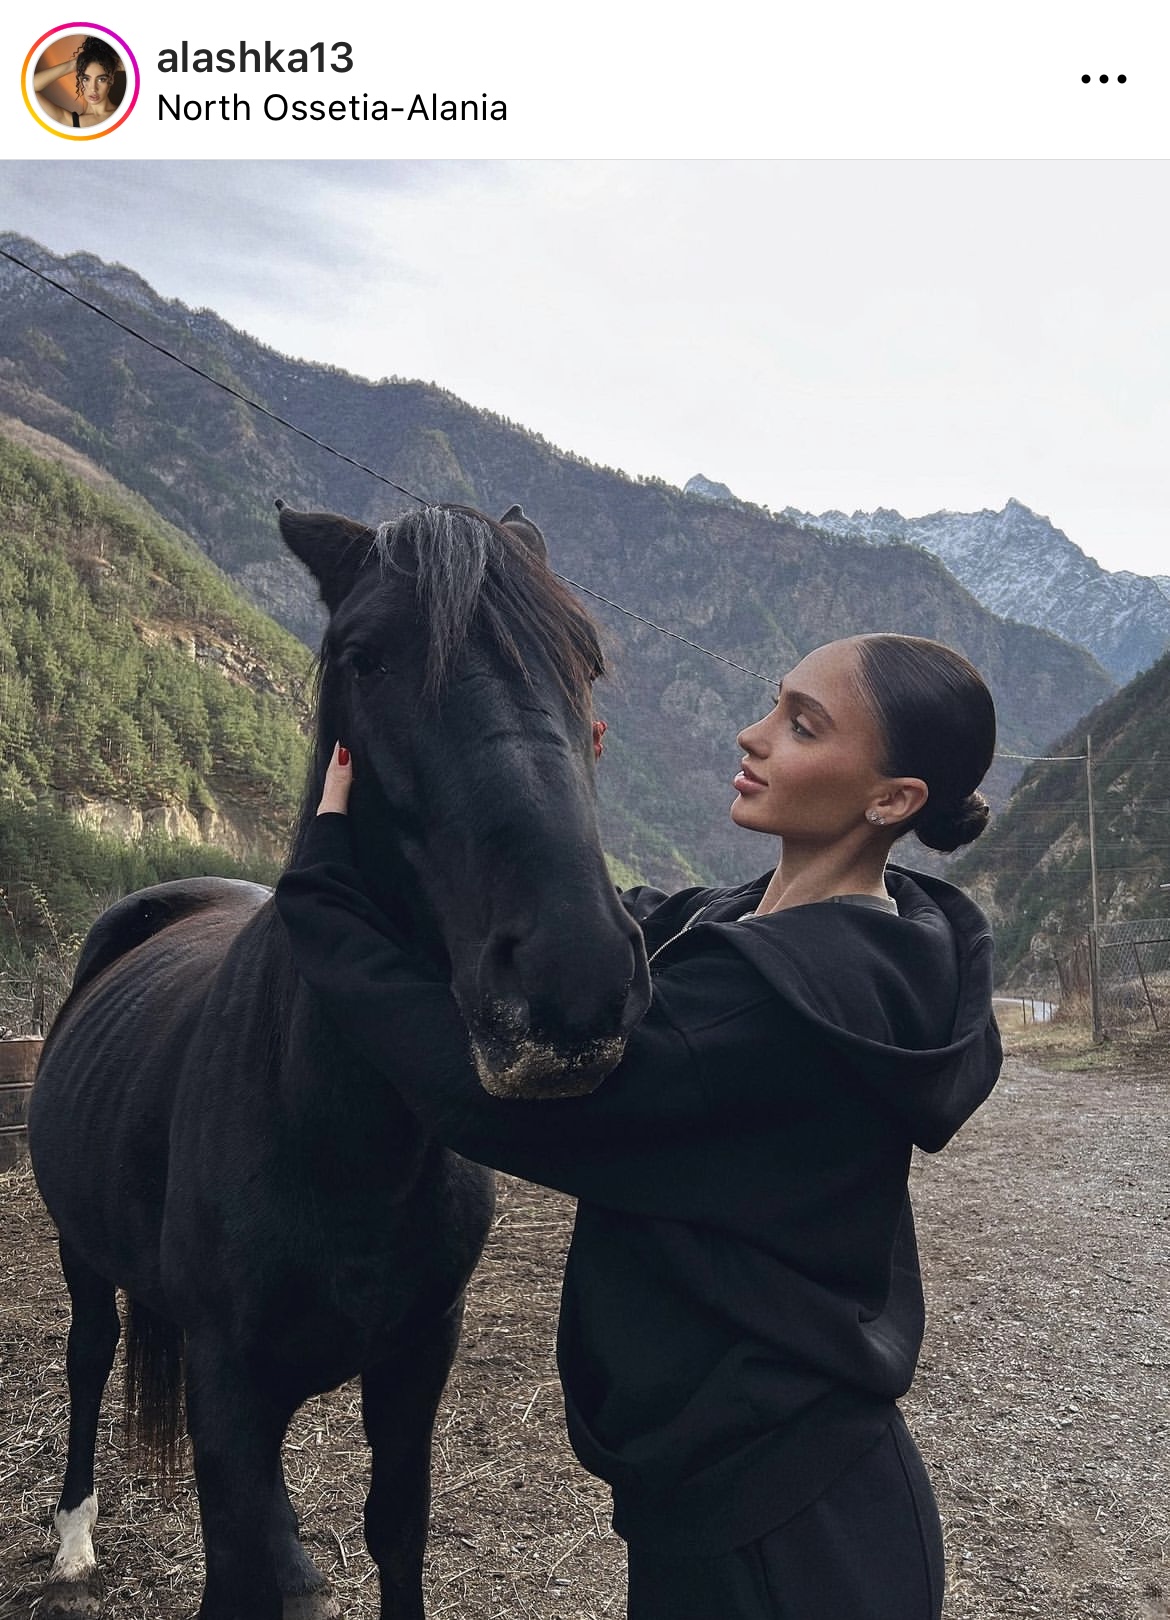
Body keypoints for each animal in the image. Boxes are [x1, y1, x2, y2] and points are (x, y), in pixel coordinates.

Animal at [27, 498, 651, 1613]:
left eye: (585, 659)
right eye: (365, 655)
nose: (574, 976)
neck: (333, 1131)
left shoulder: (416, 1358)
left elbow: (394, 1531)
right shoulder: (230, 1387)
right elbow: (241, 1569)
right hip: (80, 1251)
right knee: (89, 1359)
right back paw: (73, 1538)